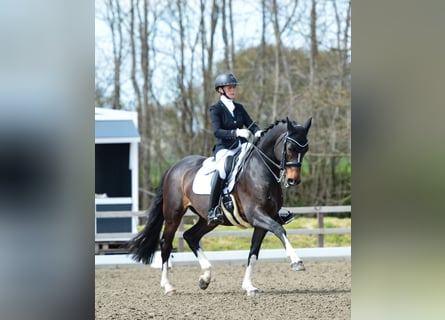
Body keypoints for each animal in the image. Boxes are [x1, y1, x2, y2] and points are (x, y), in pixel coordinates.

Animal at [126, 117, 310, 296]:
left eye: (306, 149)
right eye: (290, 147)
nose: (294, 180)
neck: (260, 169)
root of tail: (174, 167)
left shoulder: (263, 221)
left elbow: (253, 252)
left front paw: (249, 286)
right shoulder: (256, 215)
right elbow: (279, 229)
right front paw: (296, 261)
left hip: (208, 219)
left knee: (190, 236)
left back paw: (205, 277)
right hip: (173, 214)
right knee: (166, 243)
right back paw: (168, 286)